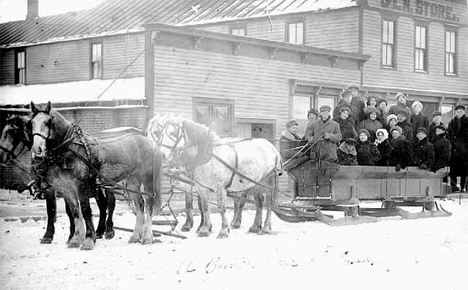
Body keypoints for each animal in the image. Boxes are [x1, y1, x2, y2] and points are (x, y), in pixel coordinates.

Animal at [0, 114, 115, 244]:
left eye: (11, 131)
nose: (1, 155)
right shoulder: (54, 187)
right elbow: (55, 210)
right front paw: (56, 235)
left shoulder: (63, 186)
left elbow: (67, 210)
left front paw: (67, 236)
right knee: (103, 204)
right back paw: (100, 231)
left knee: (110, 203)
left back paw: (109, 230)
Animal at [29, 102, 163, 249]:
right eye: (32, 123)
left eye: (47, 122)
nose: (36, 150)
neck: (71, 148)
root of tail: (152, 144)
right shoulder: (67, 189)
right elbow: (75, 212)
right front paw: (75, 239)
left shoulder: (81, 186)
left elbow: (86, 210)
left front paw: (88, 240)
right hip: (133, 181)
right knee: (139, 205)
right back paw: (134, 237)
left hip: (148, 179)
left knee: (148, 204)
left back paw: (147, 237)